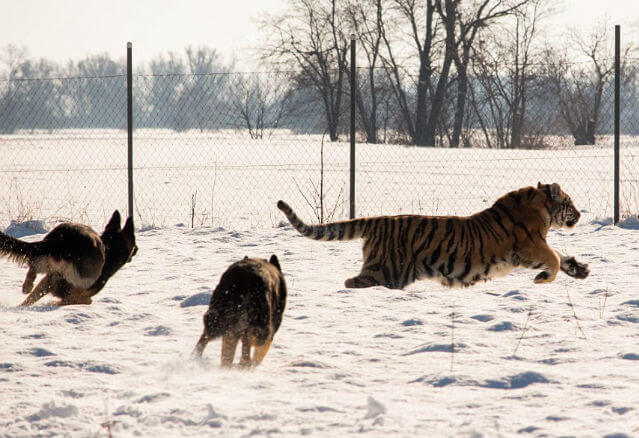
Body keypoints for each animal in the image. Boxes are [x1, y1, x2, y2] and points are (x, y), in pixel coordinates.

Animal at [0, 210, 138, 306]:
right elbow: (85, 300)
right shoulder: (77, 294)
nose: (137, 249)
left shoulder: (49, 281)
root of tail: (62, 239)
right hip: (84, 274)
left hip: (47, 260)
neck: (111, 249)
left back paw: (27, 286)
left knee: (33, 266)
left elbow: (31, 299)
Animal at [276, 182, 592, 290]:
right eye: (570, 202)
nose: (579, 214)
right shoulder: (529, 246)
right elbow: (553, 258)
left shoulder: (537, 245)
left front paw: (580, 269)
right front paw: (542, 278)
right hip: (385, 271)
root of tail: (379, 221)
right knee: (352, 282)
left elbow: (560, 255)